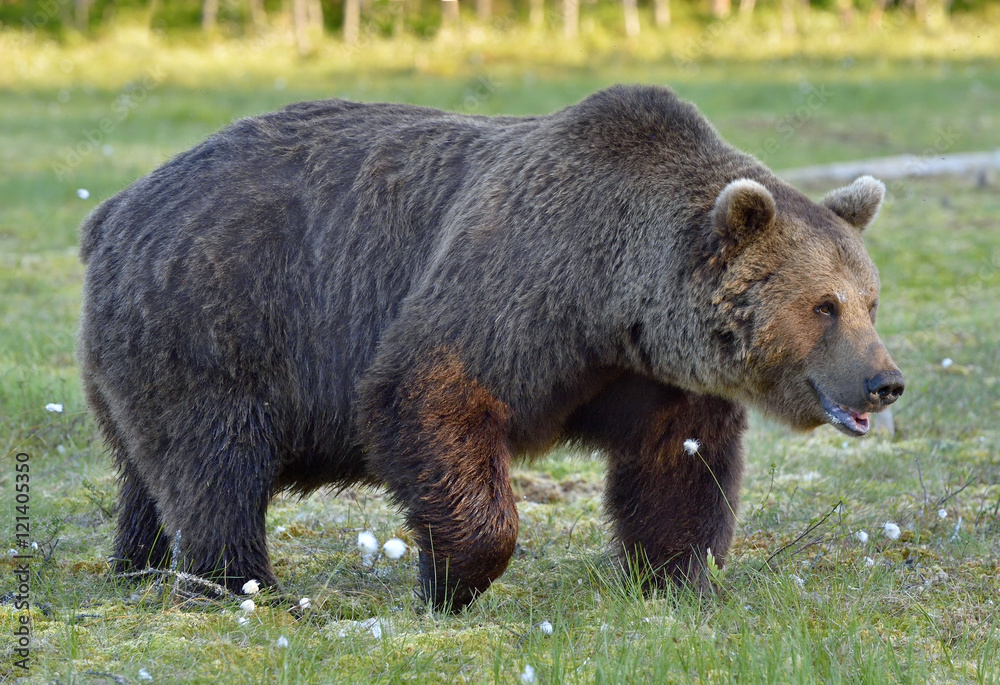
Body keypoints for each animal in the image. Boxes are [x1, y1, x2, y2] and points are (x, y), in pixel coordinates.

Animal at [80, 83, 908, 612]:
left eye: (869, 299)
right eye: (823, 305)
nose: (884, 380)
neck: (614, 295)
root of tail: (115, 208)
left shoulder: (647, 375)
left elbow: (677, 466)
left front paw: (677, 577)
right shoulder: (516, 288)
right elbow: (431, 390)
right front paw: (451, 581)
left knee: (149, 471)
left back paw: (136, 564)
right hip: (217, 321)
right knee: (217, 462)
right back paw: (239, 583)